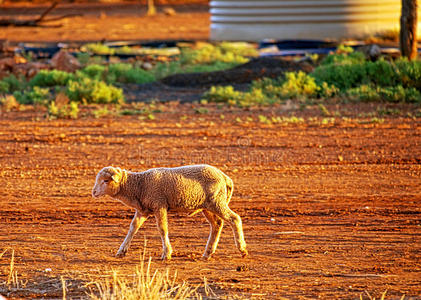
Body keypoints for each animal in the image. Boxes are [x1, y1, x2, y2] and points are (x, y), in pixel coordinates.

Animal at [92, 164, 246, 260]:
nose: (93, 192)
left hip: (217, 202)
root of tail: (225, 177)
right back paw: (207, 253)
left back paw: (242, 248)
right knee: (217, 224)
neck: (139, 186)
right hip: (208, 205)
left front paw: (167, 253)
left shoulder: (159, 204)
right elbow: (133, 228)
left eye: (105, 181)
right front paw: (121, 251)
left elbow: (162, 229)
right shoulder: (143, 210)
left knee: (235, 219)